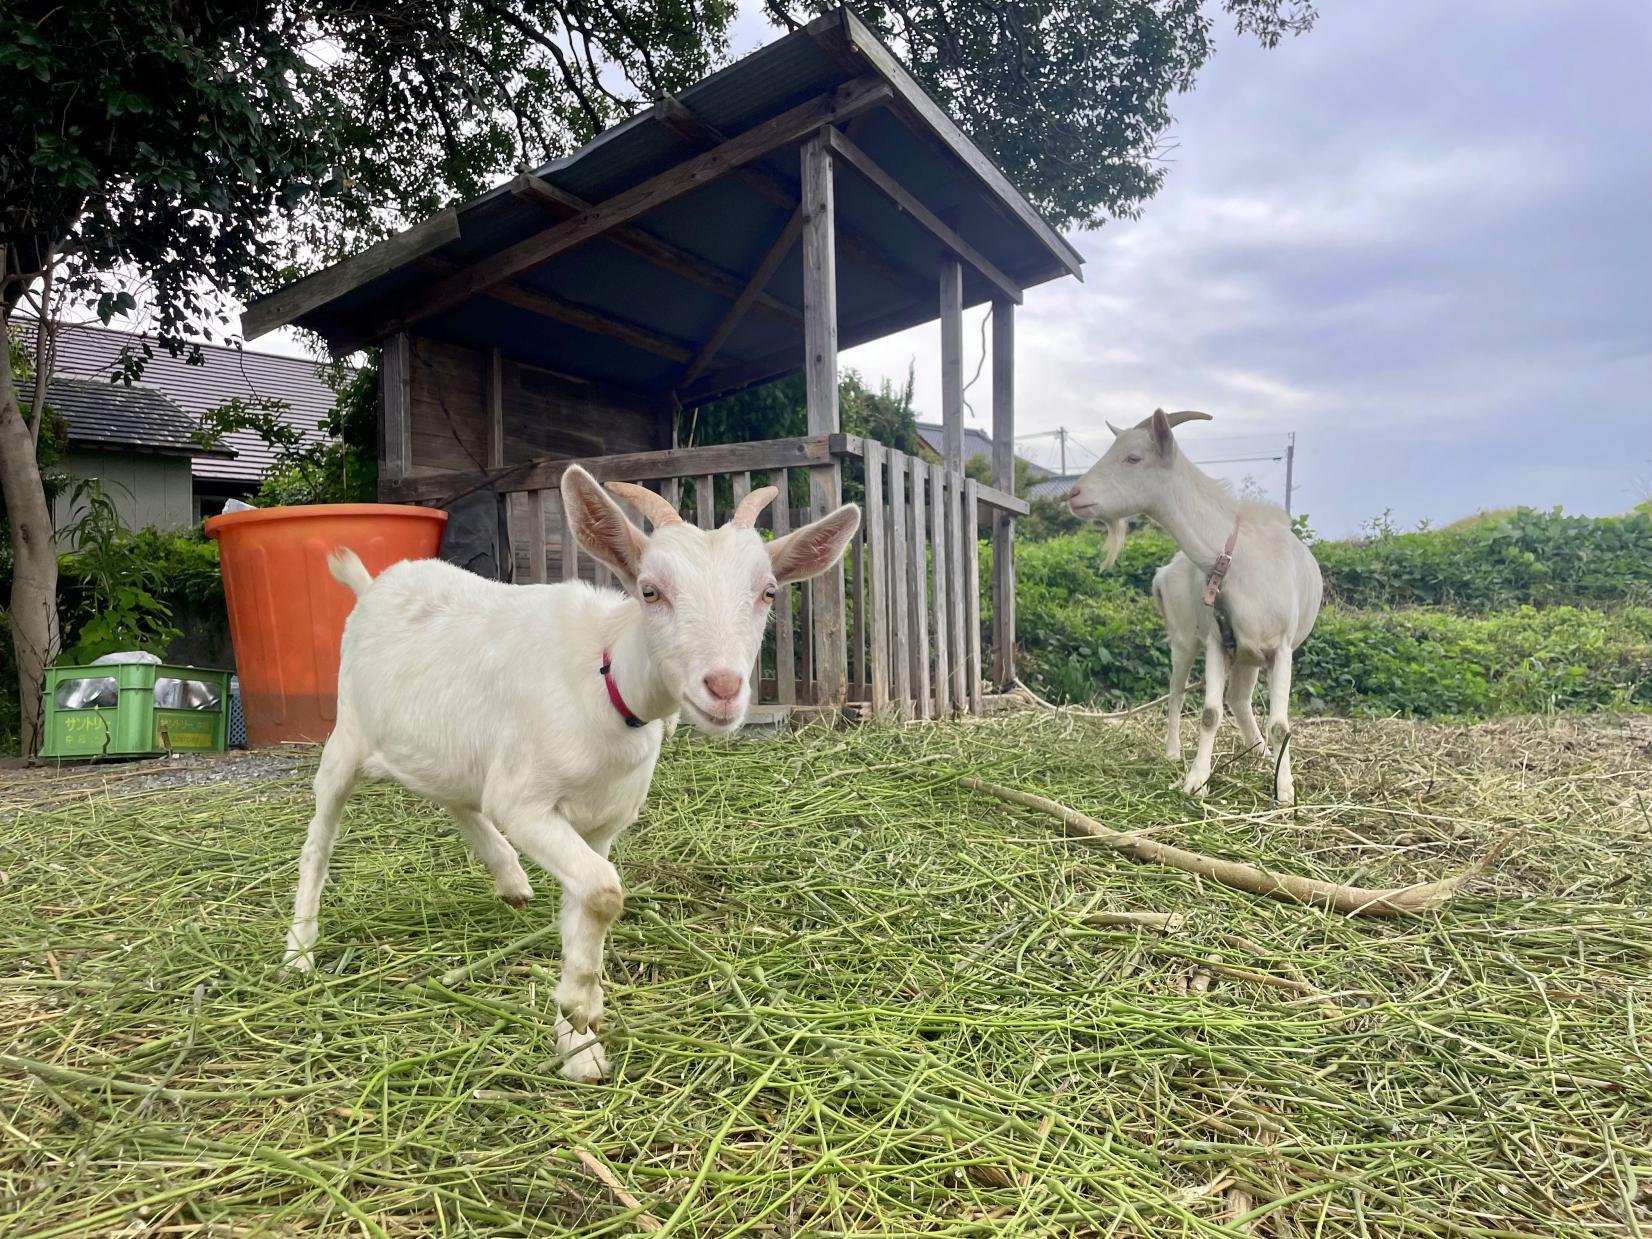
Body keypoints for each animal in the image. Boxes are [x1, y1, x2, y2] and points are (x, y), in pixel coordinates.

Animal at [282, 465, 859, 1077]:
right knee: (319, 838)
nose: (723, 688)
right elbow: (605, 892)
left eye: (768, 592)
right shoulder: (527, 803)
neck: (604, 680)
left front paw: (580, 1045)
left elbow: (586, 908)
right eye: (650, 590)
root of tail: (372, 586)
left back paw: (510, 878)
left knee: (457, 798)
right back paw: (299, 950)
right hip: (346, 735)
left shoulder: (597, 825)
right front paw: (580, 1008)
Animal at [1070, 414, 1328, 806]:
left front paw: (1284, 788)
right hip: (1185, 640)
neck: (1233, 559)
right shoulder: (1215, 641)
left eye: (1133, 457)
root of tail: (1165, 571)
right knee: (1178, 692)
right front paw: (1196, 780)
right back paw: (1173, 752)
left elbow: (1280, 723)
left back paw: (1260, 752)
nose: (1074, 494)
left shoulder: (1280, 647)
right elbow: (1209, 713)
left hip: (1249, 654)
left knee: (1239, 699)